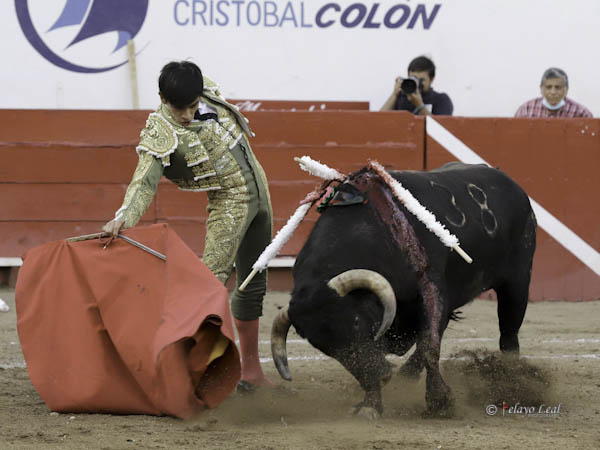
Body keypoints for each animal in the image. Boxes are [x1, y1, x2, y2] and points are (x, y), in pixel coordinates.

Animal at [270, 162, 536, 418]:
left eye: (355, 321)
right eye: (323, 346)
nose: (381, 375)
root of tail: (514, 187)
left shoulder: (433, 289)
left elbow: (429, 345)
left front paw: (440, 402)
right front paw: (371, 405)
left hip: (517, 284)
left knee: (509, 335)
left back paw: (513, 384)